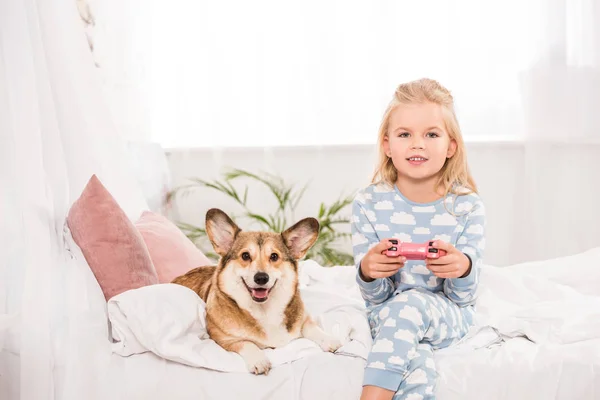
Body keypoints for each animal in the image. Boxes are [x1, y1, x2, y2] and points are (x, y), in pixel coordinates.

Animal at [172, 208, 342, 374]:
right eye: (245, 255)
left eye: (274, 256)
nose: (261, 278)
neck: (265, 311)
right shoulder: (223, 338)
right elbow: (247, 343)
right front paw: (259, 361)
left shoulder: (304, 319)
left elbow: (313, 328)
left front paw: (330, 340)